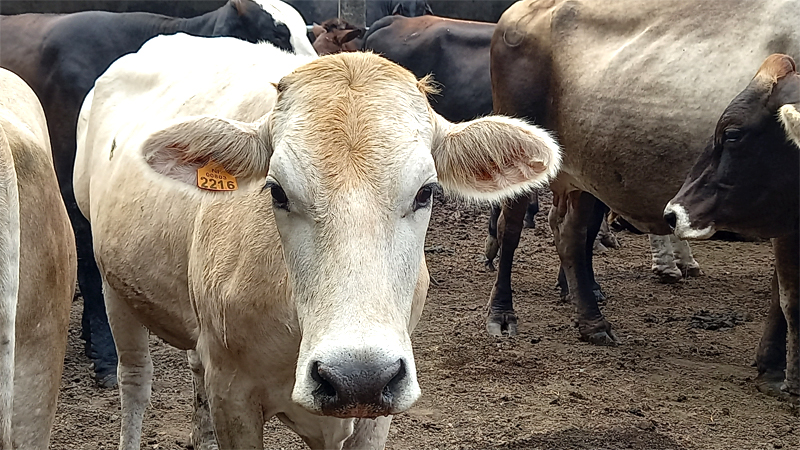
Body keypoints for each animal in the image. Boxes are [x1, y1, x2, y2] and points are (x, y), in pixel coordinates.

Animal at [76, 33, 564, 448]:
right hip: (113, 282)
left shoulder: (376, 408)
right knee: (135, 381)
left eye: (426, 191)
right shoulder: (233, 395)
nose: (358, 375)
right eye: (276, 191)